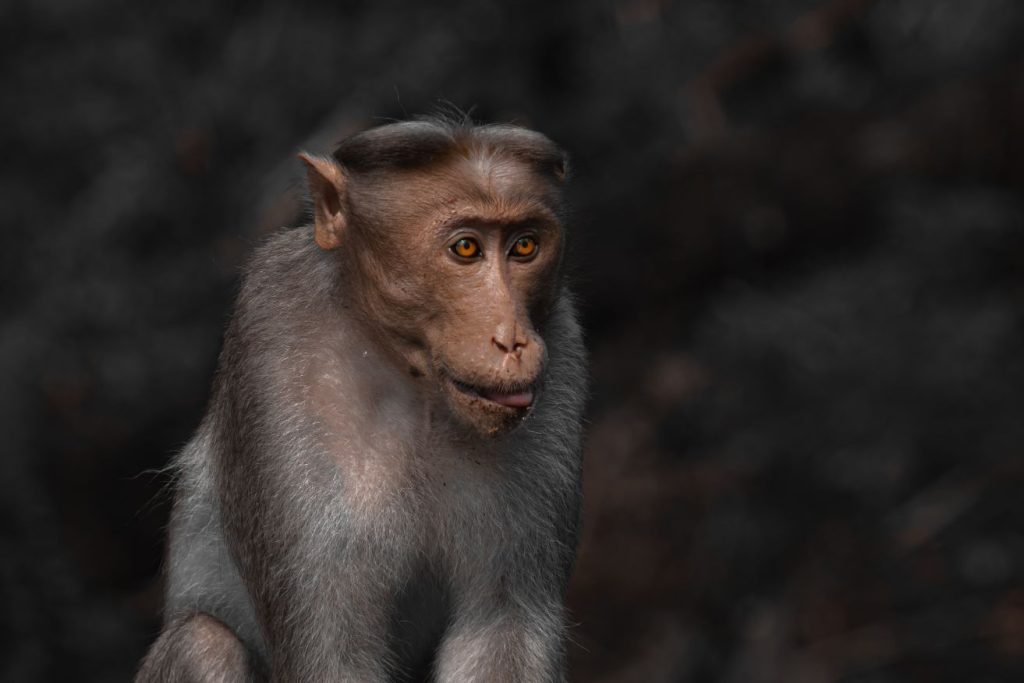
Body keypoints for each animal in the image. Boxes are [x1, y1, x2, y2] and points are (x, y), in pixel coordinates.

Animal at [136, 116, 587, 682]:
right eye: (466, 249)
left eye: (525, 247)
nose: (512, 340)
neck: (415, 384)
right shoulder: (274, 347)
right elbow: (332, 651)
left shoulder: (561, 348)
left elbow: (501, 631)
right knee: (204, 644)